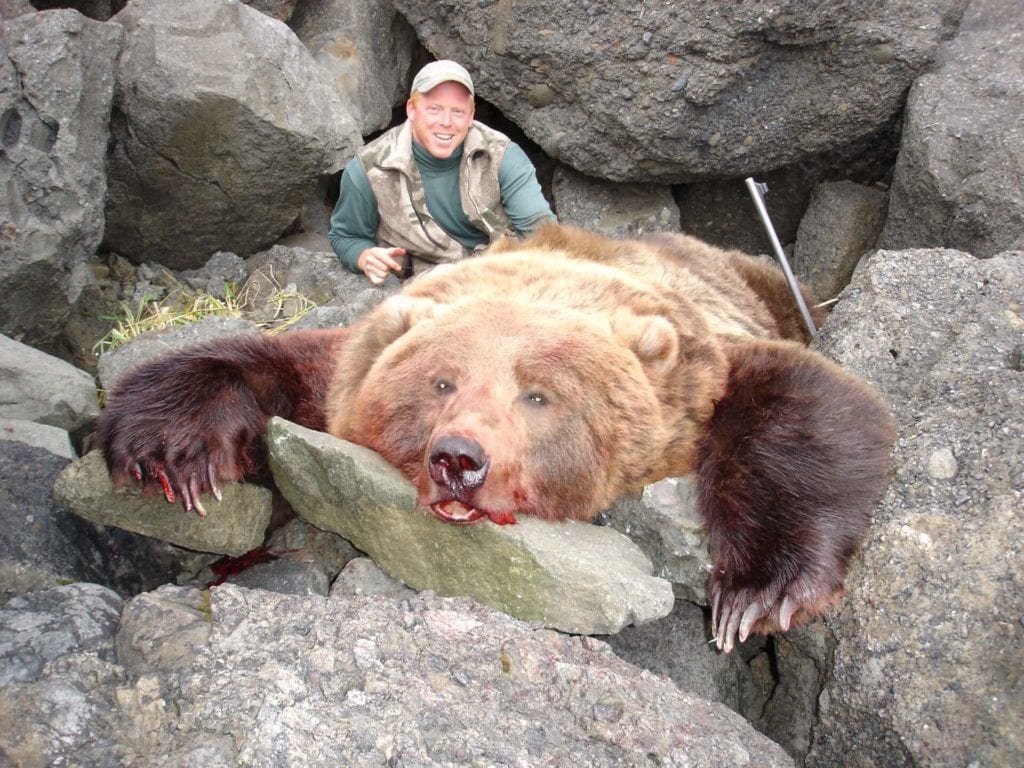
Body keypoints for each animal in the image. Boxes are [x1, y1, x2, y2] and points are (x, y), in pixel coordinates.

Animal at [97, 223, 895, 653]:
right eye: (442, 382)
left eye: (537, 395)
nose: (459, 458)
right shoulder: (346, 369)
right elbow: (272, 365)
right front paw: (170, 447)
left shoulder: (701, 365)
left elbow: (813, 404)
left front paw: (759, 592)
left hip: (760, 283)